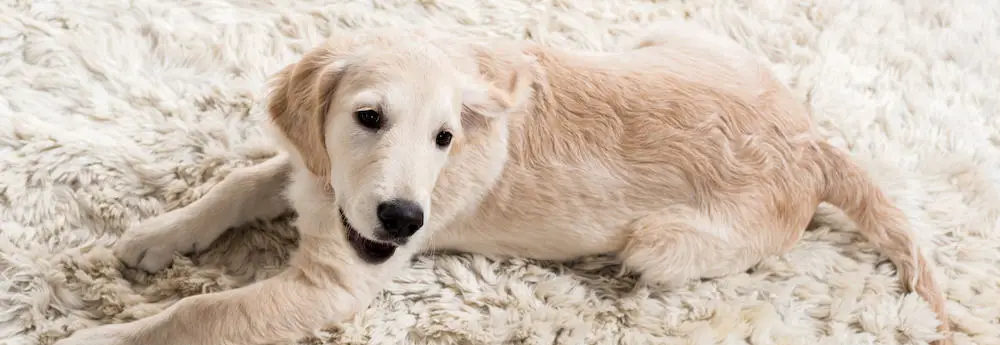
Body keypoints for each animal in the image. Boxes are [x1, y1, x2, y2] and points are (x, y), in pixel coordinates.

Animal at [52, 22, 952, 342]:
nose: (403, 220)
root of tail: (815, 142)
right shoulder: (312, 172)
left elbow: (200, 311)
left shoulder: (331, 285)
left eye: (446, 138)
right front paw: (155, 236)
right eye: (368, 117)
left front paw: (101, 337)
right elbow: (236, 184)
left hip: (663, 244)